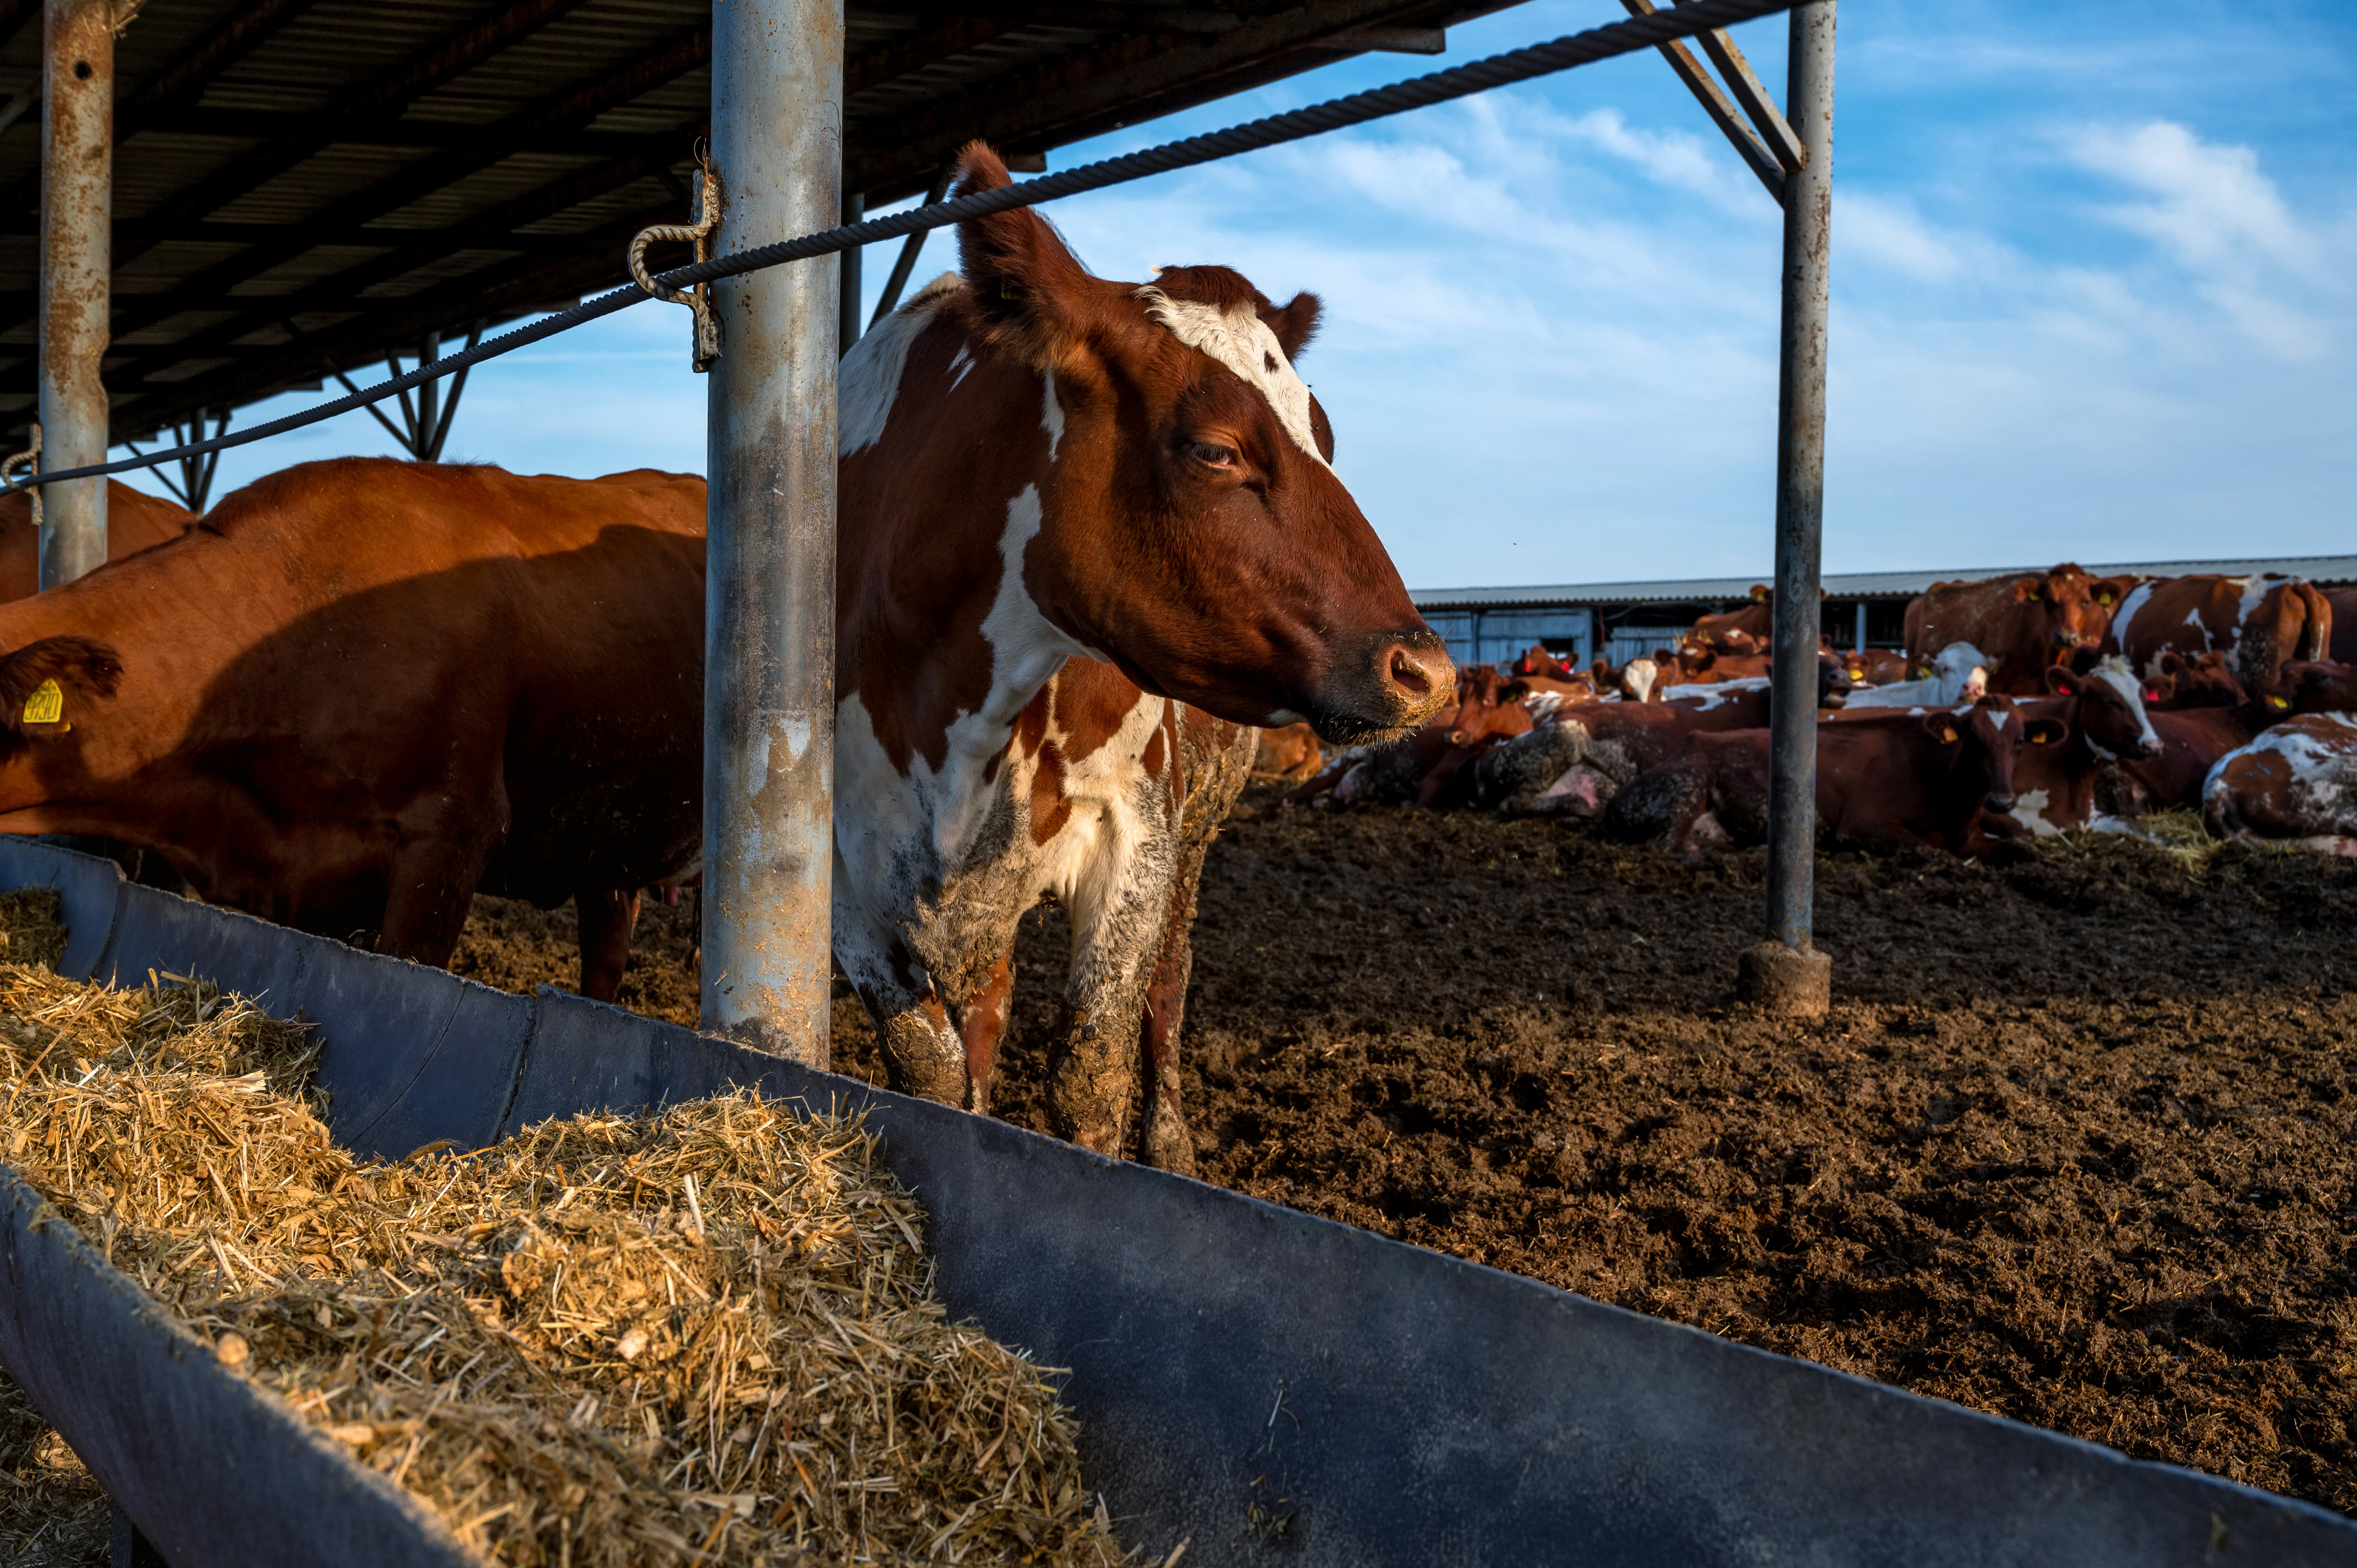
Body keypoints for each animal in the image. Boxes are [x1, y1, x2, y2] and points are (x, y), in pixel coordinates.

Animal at [833, 145, 1451, 1171]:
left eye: (1325, 437)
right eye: (1215, 449)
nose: (1427, 672)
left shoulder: (1137, 831)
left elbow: (1090, 1071)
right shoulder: (832, 861)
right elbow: (932, 1064)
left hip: (1194, 835)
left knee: (1167, 982)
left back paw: (1170, 1141)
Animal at [1605, 697, 2063, 856]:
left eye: (2020, 742)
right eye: (1975, 740)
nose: (2002, 801)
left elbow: (2024, 847)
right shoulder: (1862, 824)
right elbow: (1928, 852)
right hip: (1688, 786)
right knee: (1669, 845)